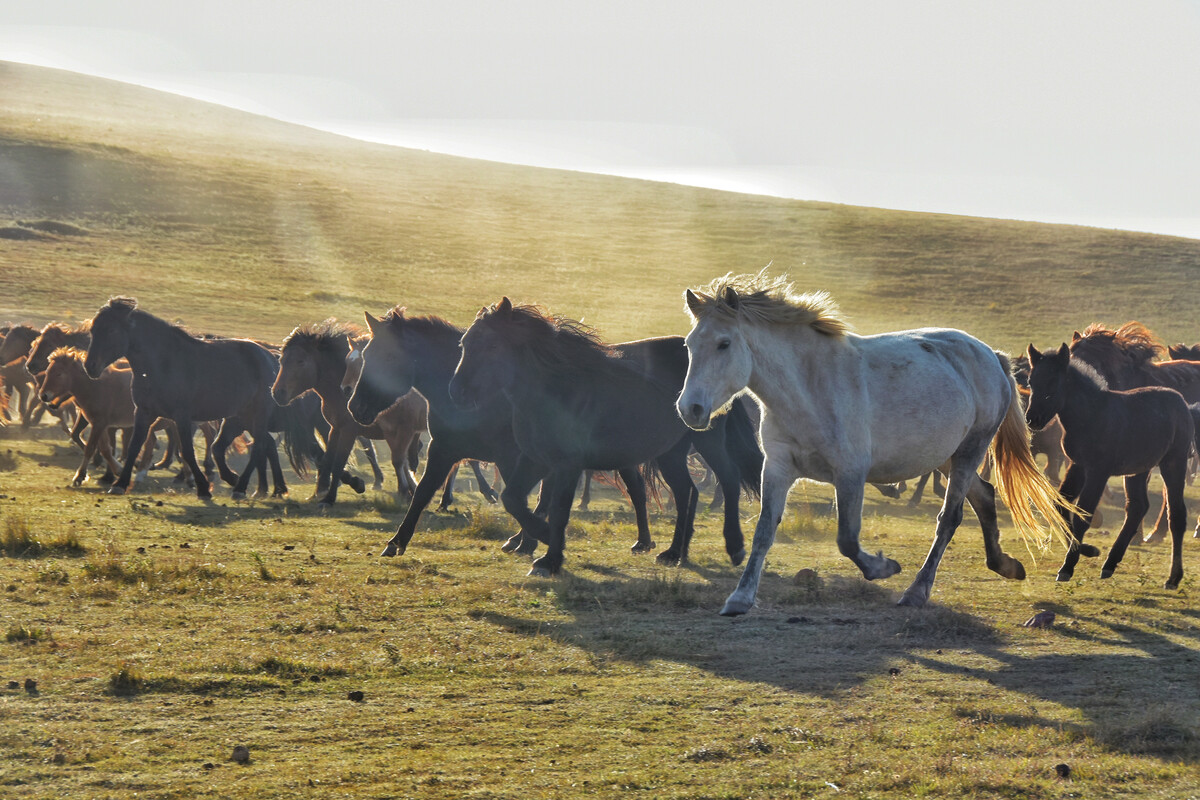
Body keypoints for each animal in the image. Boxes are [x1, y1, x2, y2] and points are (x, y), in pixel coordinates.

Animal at [84, 298, 285, 501]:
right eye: (93, 330)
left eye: (111, 330)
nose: (90, 366)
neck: (162, 365)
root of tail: (270, 357)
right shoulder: (143, 412)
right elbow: (134, 446)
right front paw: (120, 484)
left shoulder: (182, 417)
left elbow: (187, 451)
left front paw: (202, 487)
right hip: (241, 417)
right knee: (229, 447)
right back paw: (242, 480)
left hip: (257, 415)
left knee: (258, 447)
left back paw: (242, 488)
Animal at [676, 272, 1070, 618]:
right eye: (689, 345)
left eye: (724, 343)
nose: (689, 409)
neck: (809, 388)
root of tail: (991, 355)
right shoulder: (777, 468)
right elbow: (763, 532)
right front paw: (740, 598)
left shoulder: (850, 473)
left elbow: (847, 539)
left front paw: (883, 567)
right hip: (947, 455)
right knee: (985, 496)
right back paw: (1005, 565)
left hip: (969, 452)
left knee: (950, 518)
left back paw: (916, 591)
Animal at [1027, 340, 1195, 592]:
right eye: (1031, 381)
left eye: (1054, 382)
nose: (1032, 419)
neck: (1090, 415)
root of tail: (1182, 403)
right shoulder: (1078, 466)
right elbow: (1061, 506)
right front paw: (1088, 550)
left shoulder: (1098, 471)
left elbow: (1083, 515)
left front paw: (1068, 566)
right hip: (1139, 469)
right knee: (1137, 507)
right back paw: (1110, 564)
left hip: (1173, 463)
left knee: (1176, 515)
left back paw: (1173, 578)